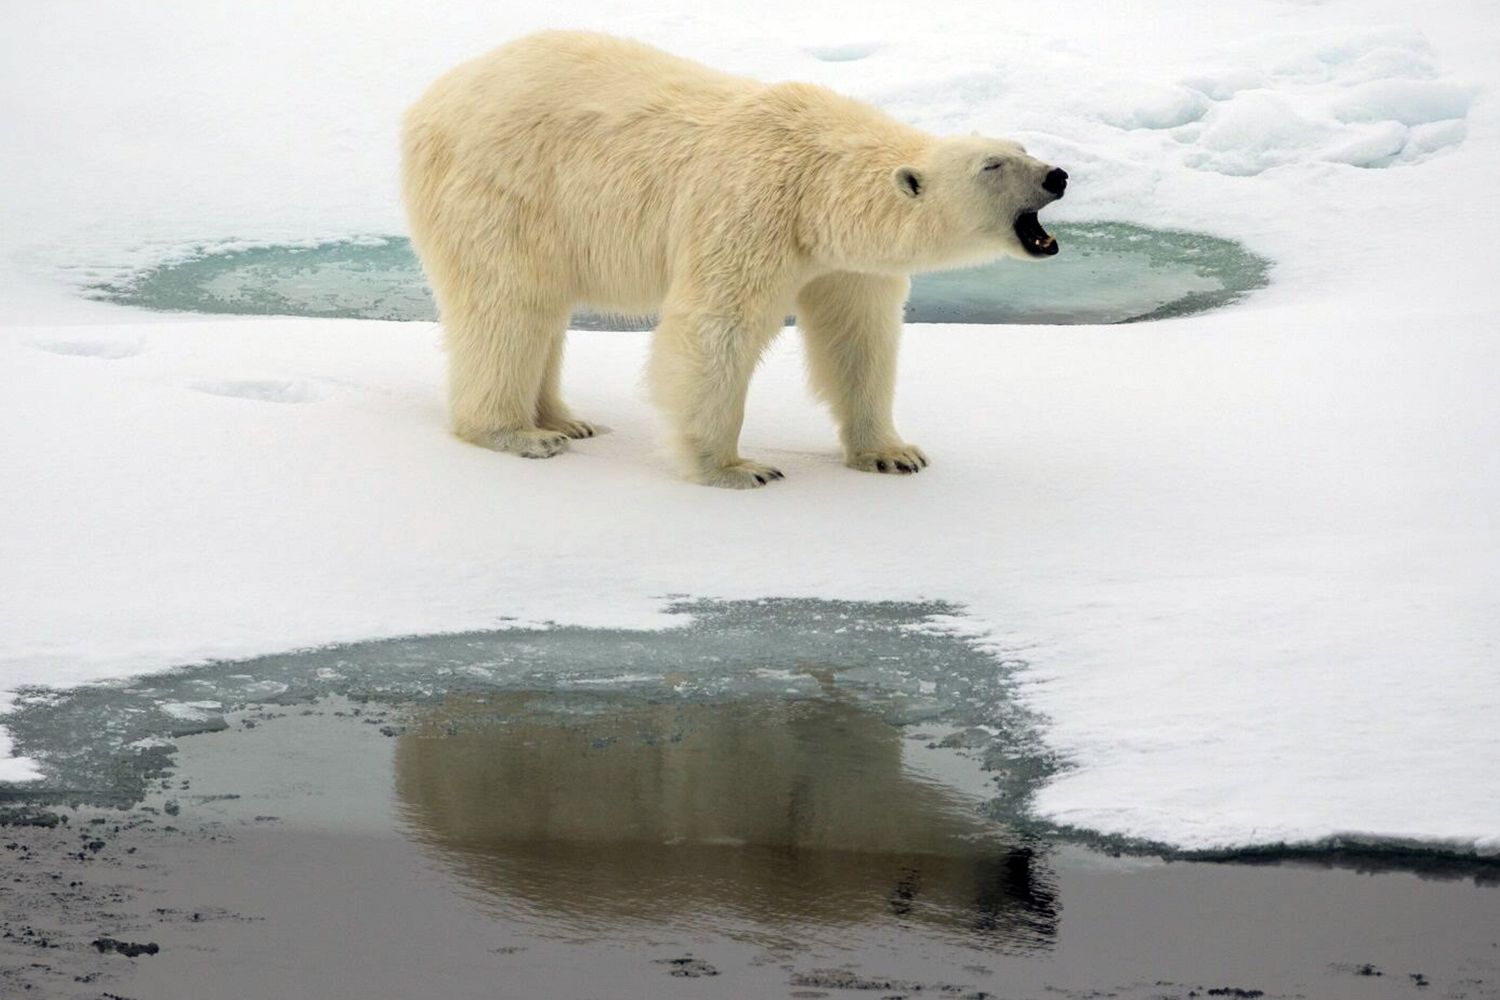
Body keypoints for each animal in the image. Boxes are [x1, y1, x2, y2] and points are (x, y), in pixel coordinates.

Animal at [401, 31, 1067, 488]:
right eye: (992, 166)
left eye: (1022, 147)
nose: (1057, 176)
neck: (818, 178)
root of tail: (430, 99)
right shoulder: (752, 206)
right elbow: (716, 327)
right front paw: (736, 468)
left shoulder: (844, 263)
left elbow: (859, 339)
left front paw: (893, 452)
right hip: (503, 187)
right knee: (509, 302)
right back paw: (518, 433)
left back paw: (566, 420)